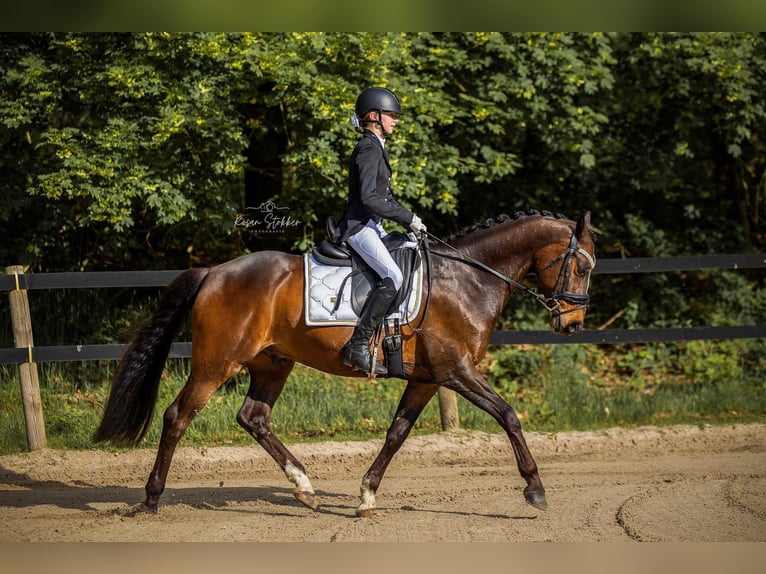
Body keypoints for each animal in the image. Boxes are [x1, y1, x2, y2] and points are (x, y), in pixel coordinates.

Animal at [94, 209, 596, 517]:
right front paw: (535, 489)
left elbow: (397, 433)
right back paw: (151, 499)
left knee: (253, 417)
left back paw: (304, 487)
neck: (467, 278)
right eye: (582, 267)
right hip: (217, 364)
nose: (573, 324)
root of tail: (215, 271)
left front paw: (367, 494)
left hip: (272, 363)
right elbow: (509, 415)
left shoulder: (428, 379)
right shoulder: (457, 373)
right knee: (178, 416)